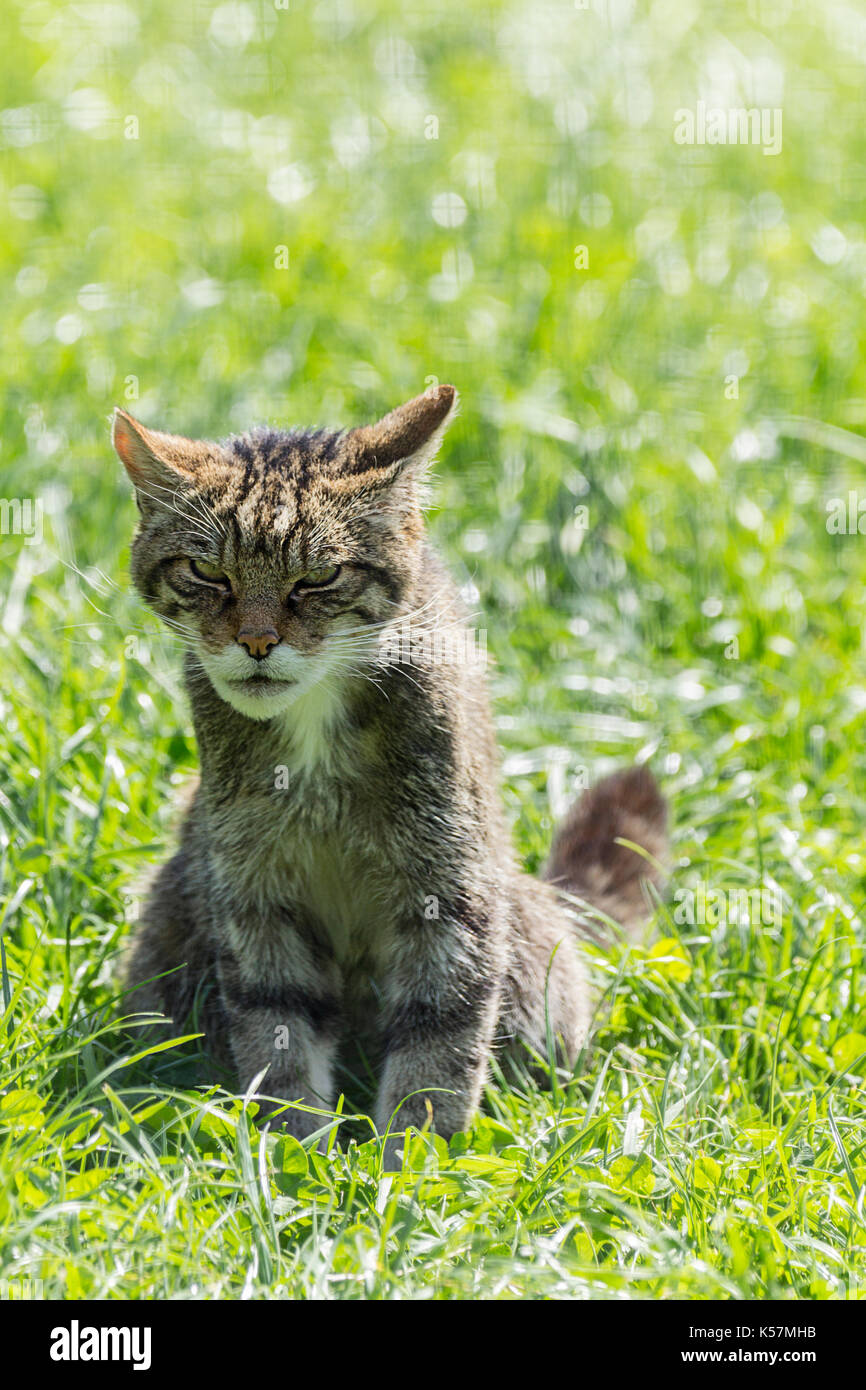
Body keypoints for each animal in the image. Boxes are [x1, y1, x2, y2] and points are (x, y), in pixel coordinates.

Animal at [113, 386, 670, 1156]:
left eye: (319, 577)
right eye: (208, 574)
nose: (256, 641)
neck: (314, 722)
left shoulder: (452, 887)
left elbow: (441, 1035)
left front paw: (410, 1159)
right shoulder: (252, 887)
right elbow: (276, 1023)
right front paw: (296, 1152)